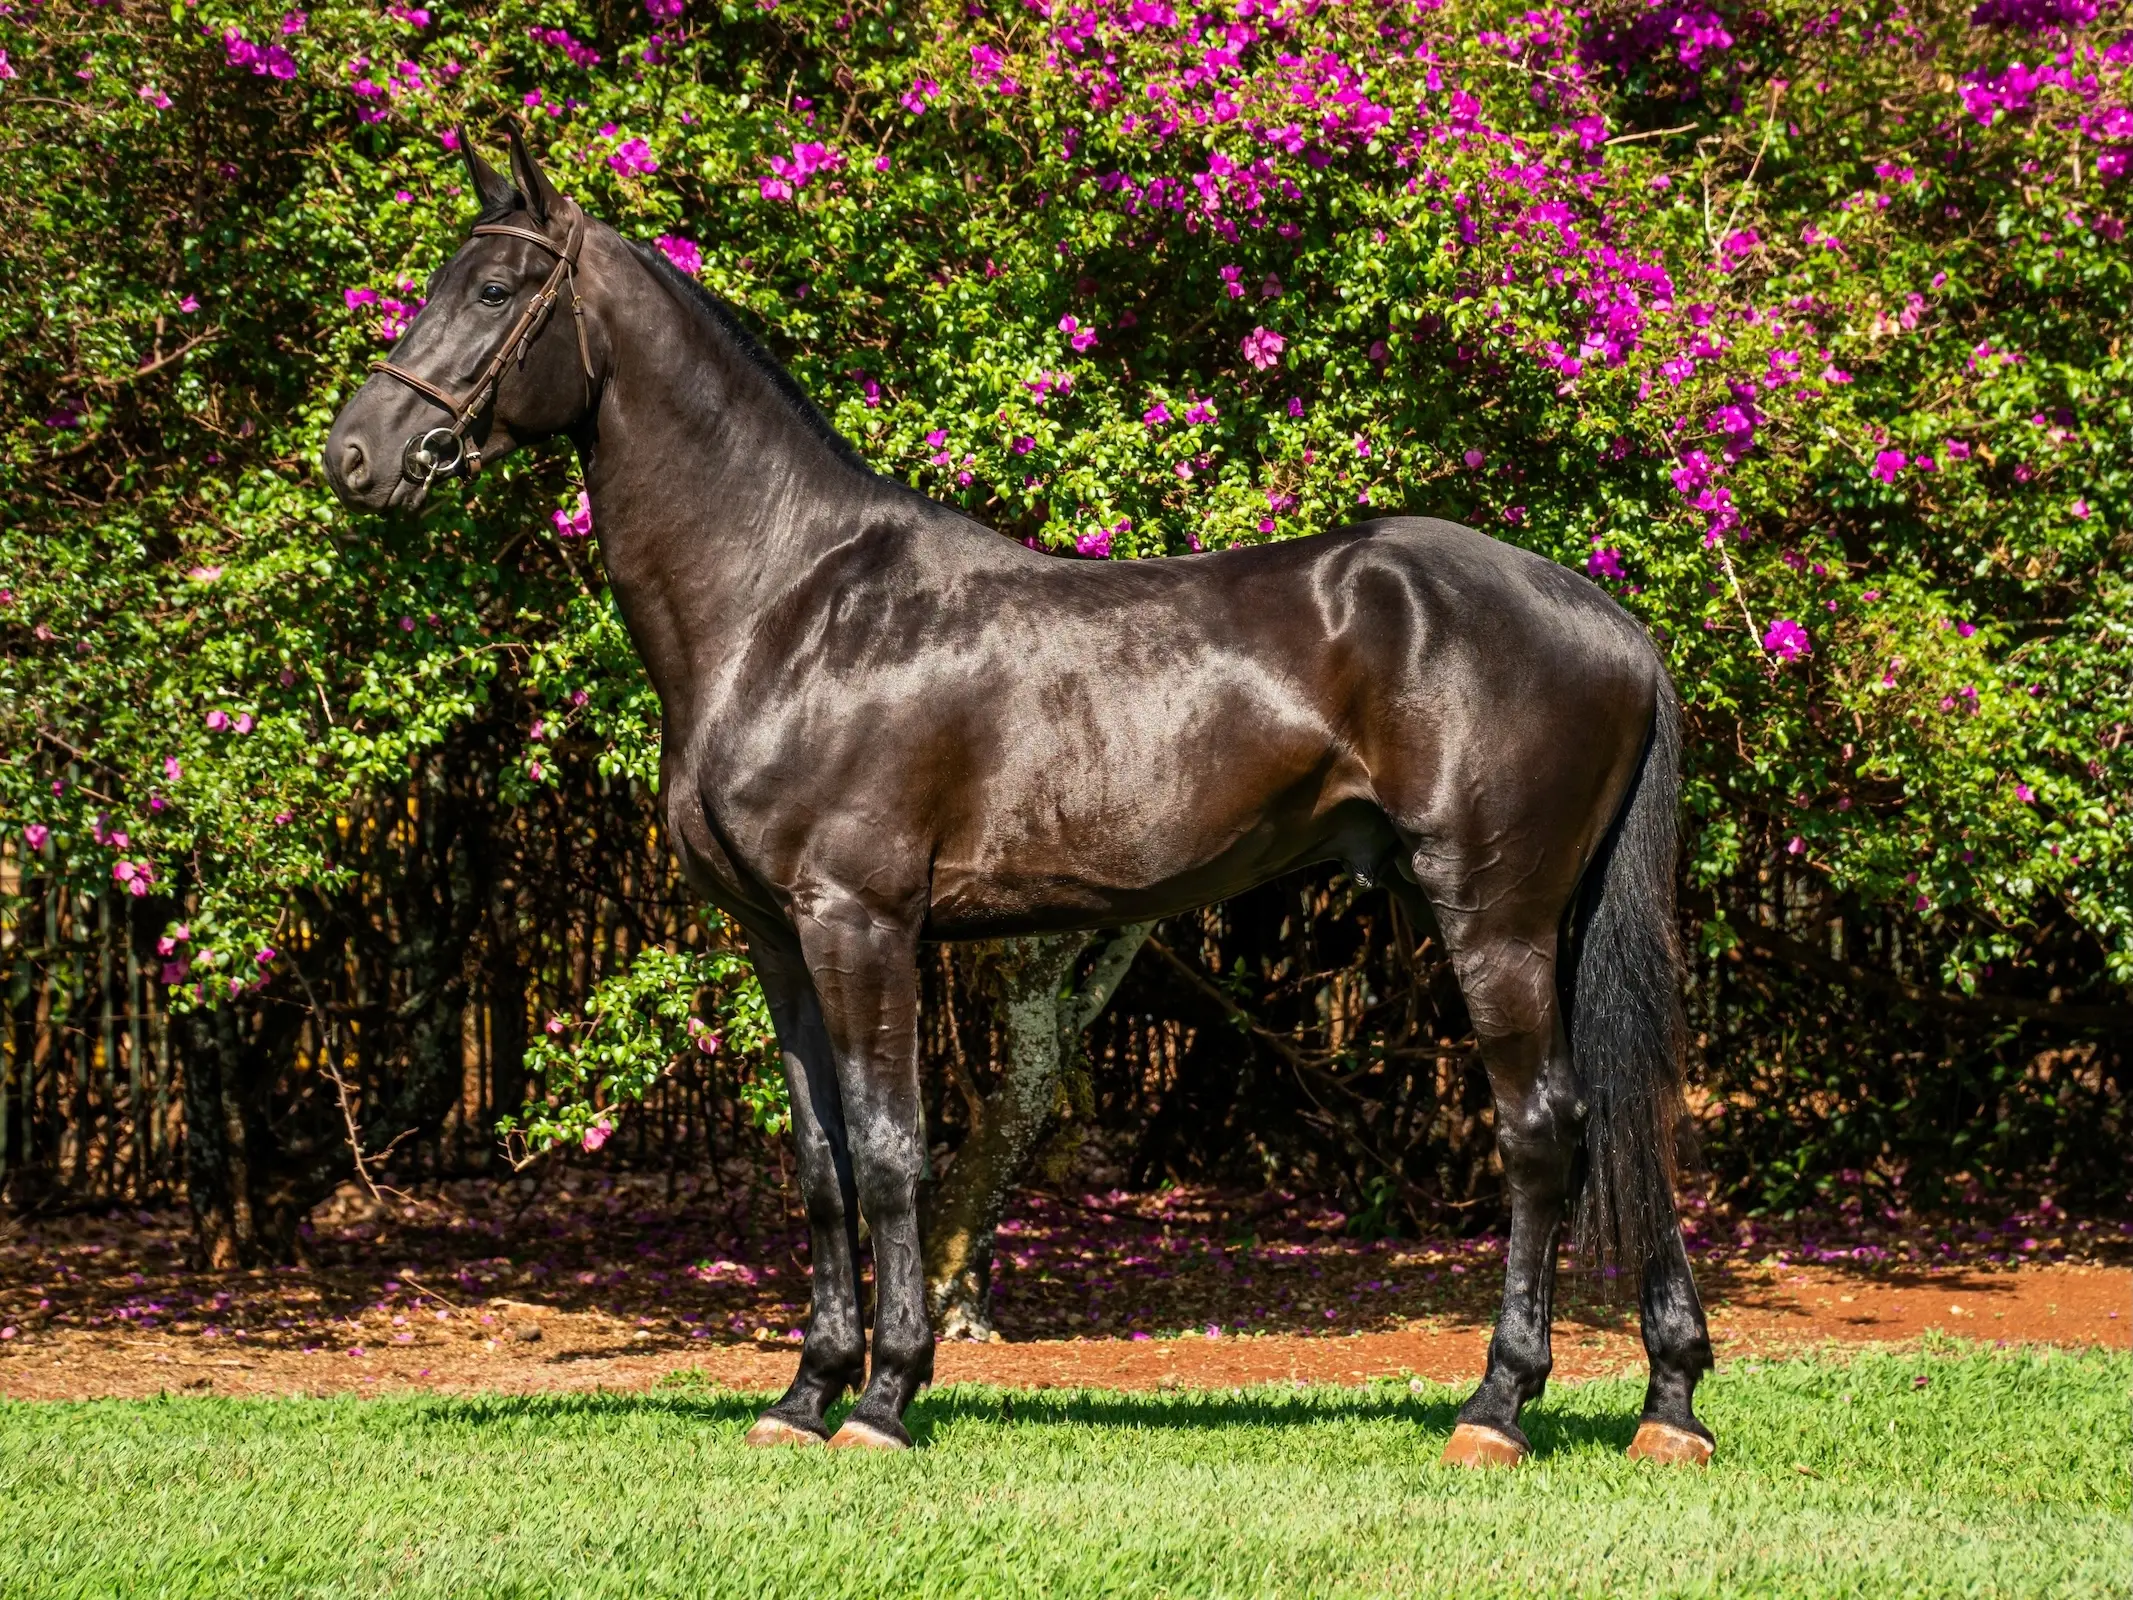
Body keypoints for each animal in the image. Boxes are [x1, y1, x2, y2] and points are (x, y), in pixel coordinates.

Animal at [324, 124, 1715, 1467]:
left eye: (493, 289)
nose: (356, 455)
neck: (788, 603)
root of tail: (1611, 622)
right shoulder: (777, 937)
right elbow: (822, 1164)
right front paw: (804, 1393)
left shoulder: (863, 923)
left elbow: (893, 1154)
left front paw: (885, 1397)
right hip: (1547, 922)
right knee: (1629, 1128)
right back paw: (1671, 1406)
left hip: (1493, 919)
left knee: (1543, 1133)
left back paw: (1498, 1405)